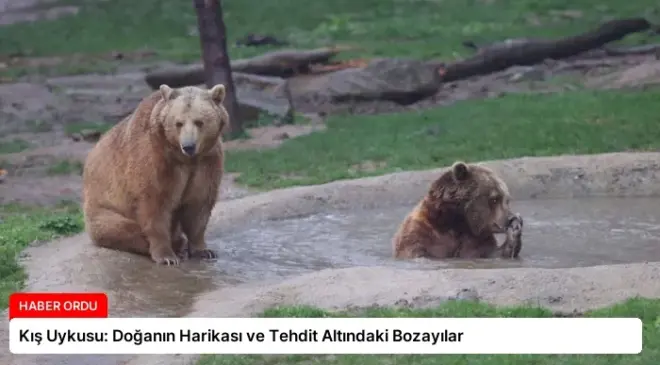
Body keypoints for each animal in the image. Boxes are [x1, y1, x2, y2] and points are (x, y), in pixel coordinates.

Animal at [82, 82, 229, 264]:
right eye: (178, 123)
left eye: (199, 122)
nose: (188, 146)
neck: (185, 159)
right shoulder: (156, 159)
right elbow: (155, 204)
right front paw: (166, 256)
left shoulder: (207, 161)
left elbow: (198, 204)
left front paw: (204, 251)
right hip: (103, 208)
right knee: (122, 228)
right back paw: (174, 245)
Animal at [390, 161, 524, 258]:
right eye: (494, 199)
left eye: (507, 199)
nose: (509, 218)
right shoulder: (420, 233)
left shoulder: (476, 241)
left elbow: (492, 253)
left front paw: (514, 231)